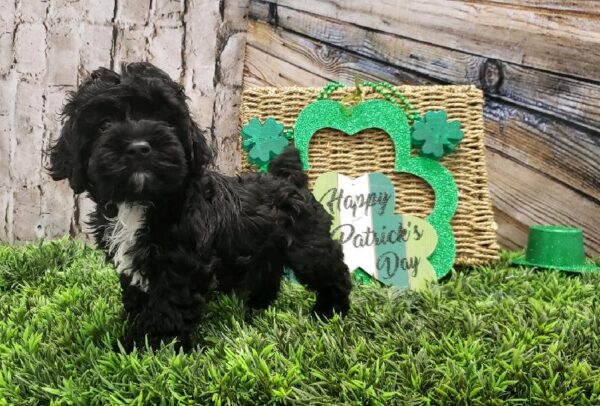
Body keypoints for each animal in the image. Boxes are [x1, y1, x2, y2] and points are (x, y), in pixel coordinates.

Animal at [47, 61, 352, 350]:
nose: (138, 147)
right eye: (104, 125)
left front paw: (152, 349)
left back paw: (330, 313)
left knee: (332, 272)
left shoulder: (182, 265)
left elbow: (168, 309)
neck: (142, 200)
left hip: (307, 245)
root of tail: (289, 179)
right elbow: (138, 299)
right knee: (268, 276)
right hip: (267, 249)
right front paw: (133, 335)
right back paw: (255, 312)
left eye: (164, 119)